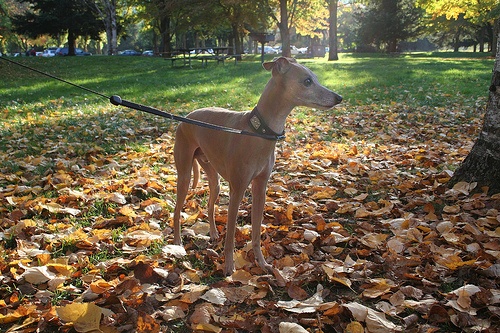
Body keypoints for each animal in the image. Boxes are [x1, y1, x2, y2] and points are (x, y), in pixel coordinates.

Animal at [174, 57, 342, 274]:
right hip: (184, 174)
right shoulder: (237, 190)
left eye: (315, 78)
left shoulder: (260, 188)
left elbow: (255, 232)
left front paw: (262, 263)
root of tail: (185, 118)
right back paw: (177, 243)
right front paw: (229, 267)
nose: (339, 98)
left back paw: (212, 233)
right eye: (307, 81)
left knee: (210, 206)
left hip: (213, 177)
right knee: (176, 211)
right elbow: (231, 235)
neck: (258, 131)